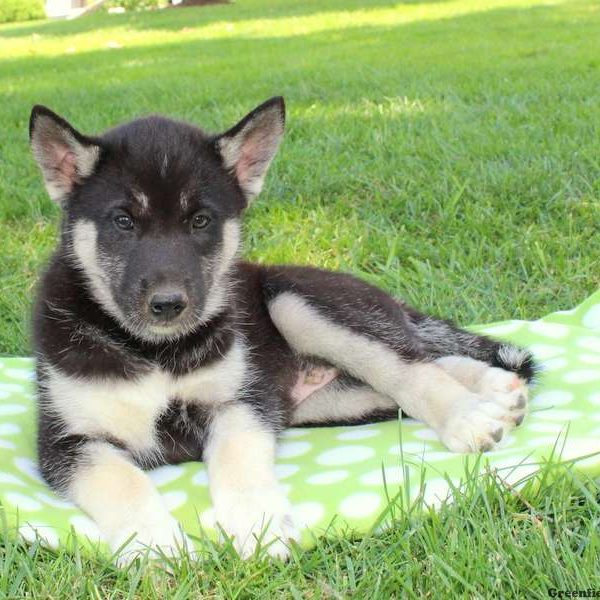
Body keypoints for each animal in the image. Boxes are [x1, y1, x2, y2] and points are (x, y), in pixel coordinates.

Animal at [29, 98, 536, 564]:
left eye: (200, 221)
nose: (169, 305)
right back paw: (497, 387)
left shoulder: (243, 400)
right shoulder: (65, 442)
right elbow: (121, 481)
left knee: (411, 366)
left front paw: (257, 523)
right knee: (423, 361)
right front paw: (154, 543)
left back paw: (470, 414)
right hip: (334, 401)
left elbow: (237, 459)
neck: (153, 351)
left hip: (295, 303)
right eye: (122, 221)